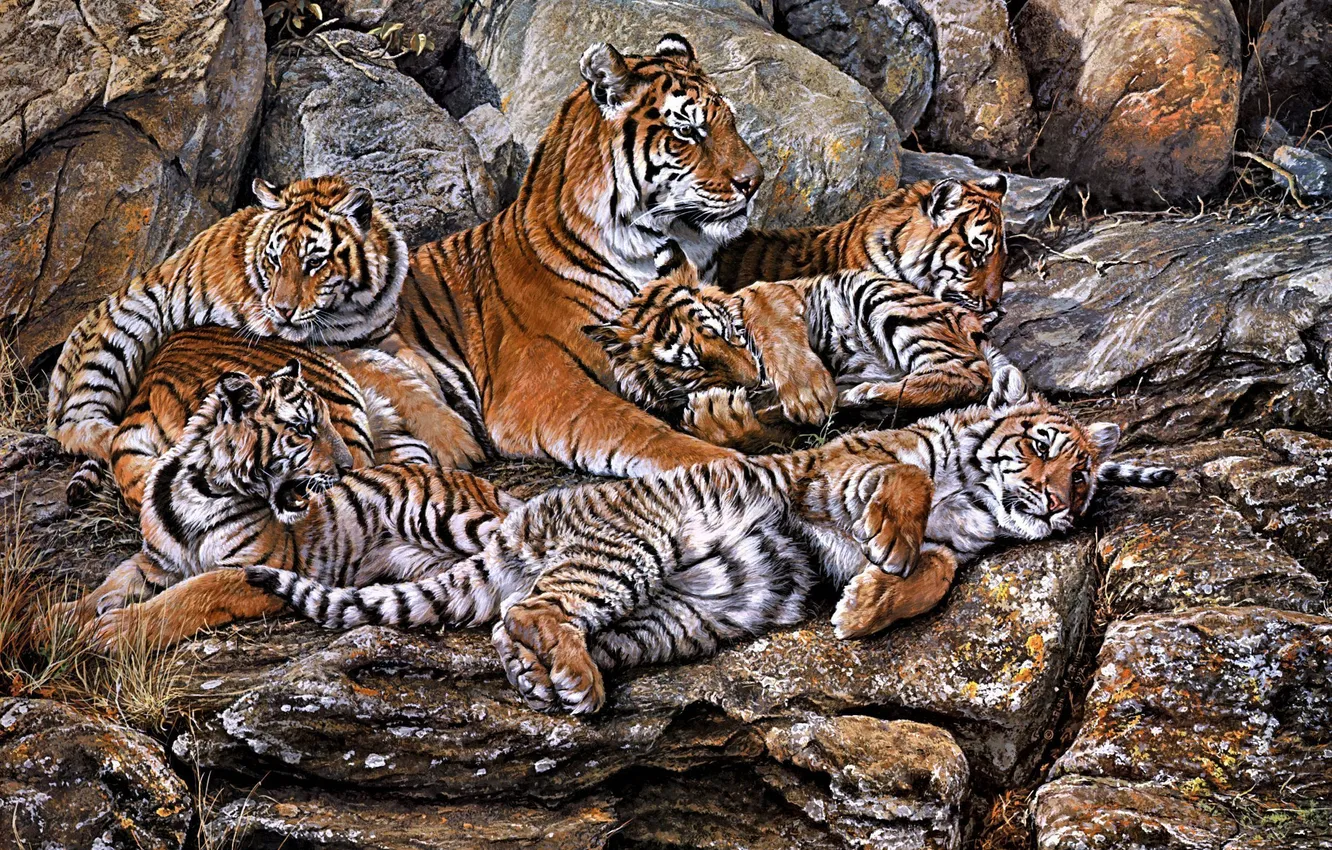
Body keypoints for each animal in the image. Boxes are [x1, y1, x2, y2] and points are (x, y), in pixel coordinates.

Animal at [41, 175, 409, 469]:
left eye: (315, 262)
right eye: (275, 260)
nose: (282, 310)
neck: (352, 306)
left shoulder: (383, 334)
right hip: (119, 338)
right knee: (75, 426)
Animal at [73, 360, 517, 651]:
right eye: (304, 428)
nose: (348, 466)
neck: (198, 490)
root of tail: (476, 480)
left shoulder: (252, 567)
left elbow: (190, 594)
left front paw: (117, 630)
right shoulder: (155, 564)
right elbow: (105, 587)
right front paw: (60, 620)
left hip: (445, 517)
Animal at [247, 375, 1175, 715]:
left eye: (1085, 480)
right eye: (1045, 447)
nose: (1058, 507)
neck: (978, 502)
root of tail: (518, 524)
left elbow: (938, 571)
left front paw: (867, 605)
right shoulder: (834, 468)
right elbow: (905, 482)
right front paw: (889, 555)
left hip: (685, 616)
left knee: (523, 623)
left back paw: (549, 681)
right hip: (636, 545)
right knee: (540, 608)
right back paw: (571, 680)